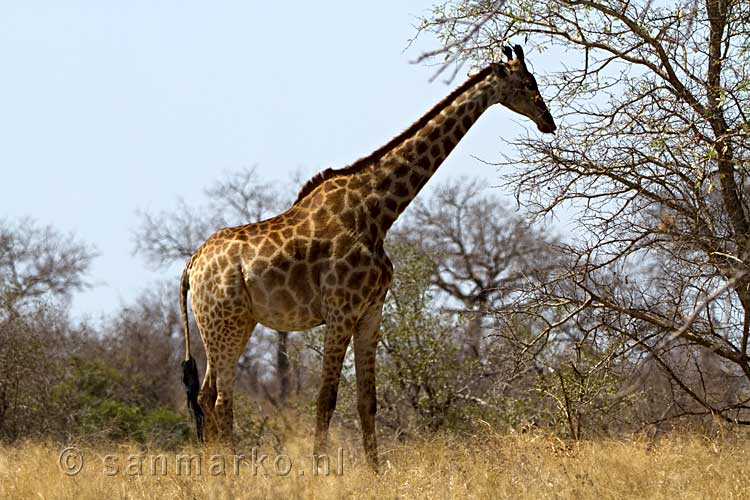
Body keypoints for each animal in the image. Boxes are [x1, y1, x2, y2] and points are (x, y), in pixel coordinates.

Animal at [179, 45, 556, 470]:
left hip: (233, 324)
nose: (549, 121)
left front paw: (375, 470)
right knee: (220, 399)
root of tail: (190, 266)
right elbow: (326, 399)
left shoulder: (371, 312)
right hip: (224, 321)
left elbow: (367, 401)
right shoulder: (341, 311)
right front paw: (320, 469)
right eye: (527, 83)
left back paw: (213, 469)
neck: (376, 215)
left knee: (205, 395)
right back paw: (229, 470)